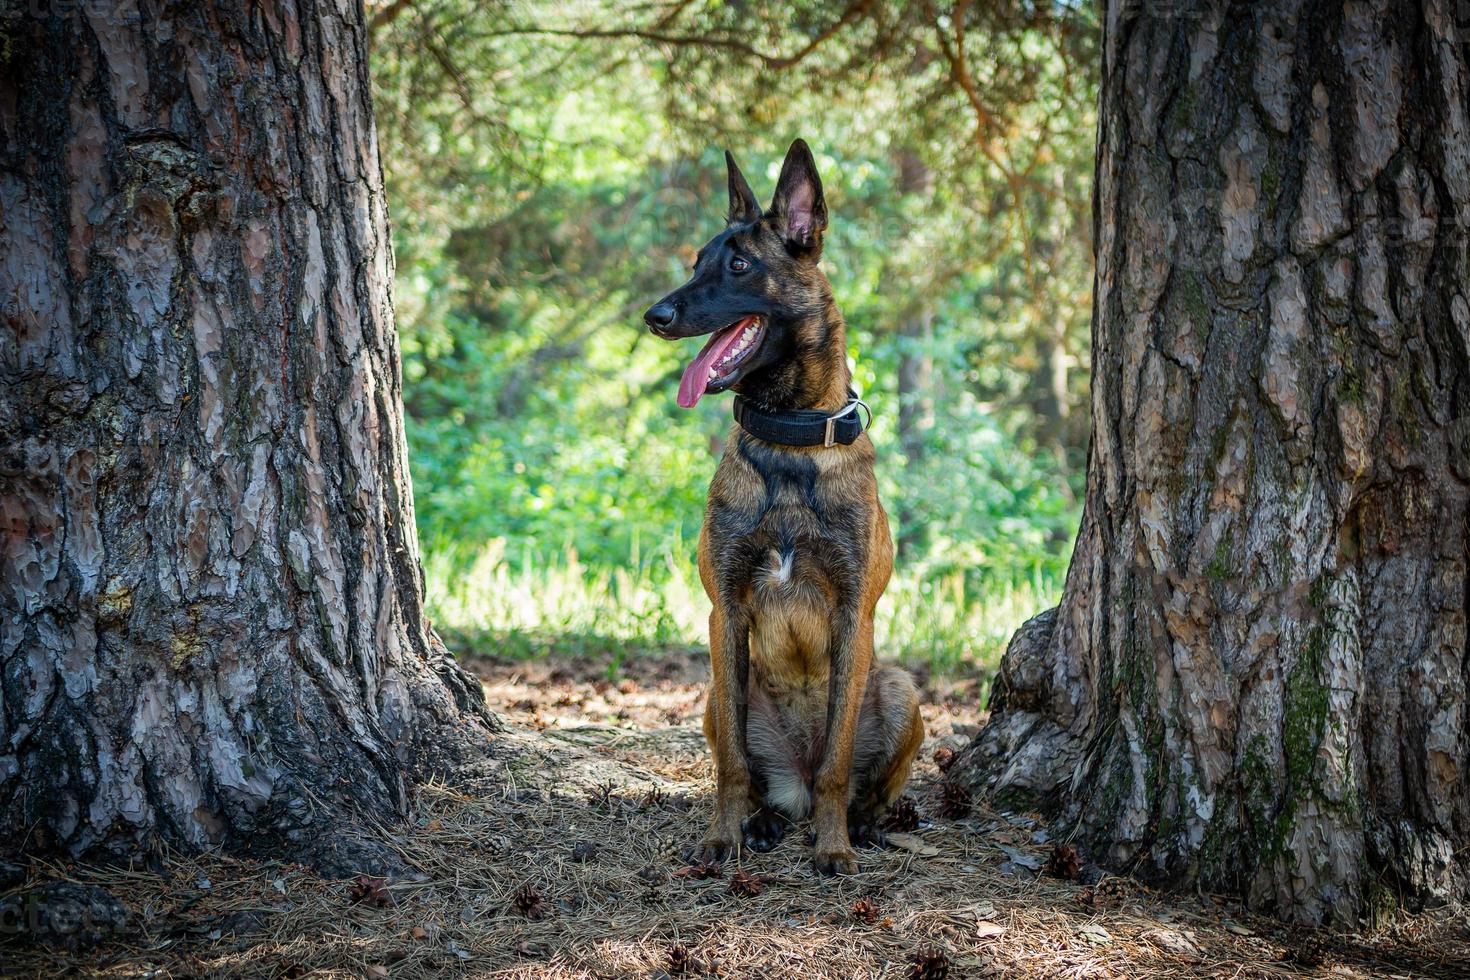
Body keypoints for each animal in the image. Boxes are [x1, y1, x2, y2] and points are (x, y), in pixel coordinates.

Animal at [640, 138, 917, 875]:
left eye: (739, 265)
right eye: (696, 263)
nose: (655, 317)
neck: (788, 444)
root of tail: (792, 780)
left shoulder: (853, 615)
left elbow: (838, 762)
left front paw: (834, 846)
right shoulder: (726, 615)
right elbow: (733, 765)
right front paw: (723, 837)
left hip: (900, 687)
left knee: (857, 784)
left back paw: (865, 822)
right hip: (716, 693)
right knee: (761, 772)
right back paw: (765, 821)